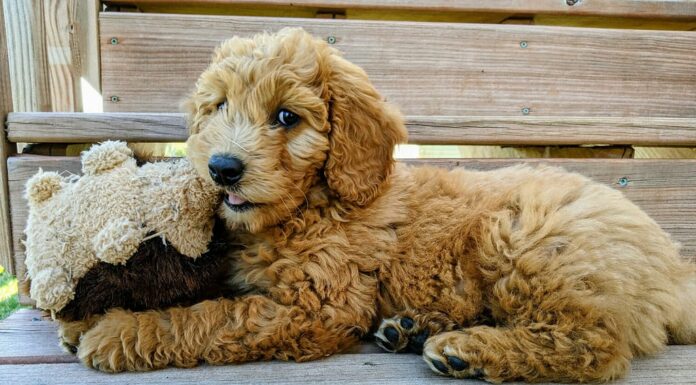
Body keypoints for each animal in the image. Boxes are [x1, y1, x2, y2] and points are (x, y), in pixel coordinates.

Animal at [76, 27, 696, 380]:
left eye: (286, 116)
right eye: (220, 106)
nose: (223, 168)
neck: (311, 206)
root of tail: (673, 267)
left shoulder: (319, 306)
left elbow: (213, 317)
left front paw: (118, 332)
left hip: (526, 240)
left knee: (594, 345)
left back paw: (465, 349)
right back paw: (411, 328)